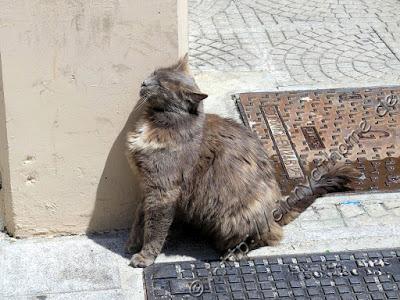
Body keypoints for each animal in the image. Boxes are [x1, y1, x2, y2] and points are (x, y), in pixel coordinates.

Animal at [123, 55, 358, 268]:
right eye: (154, 74)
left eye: (161, 85)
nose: (144, 82)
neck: (160, 123)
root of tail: (276, 208)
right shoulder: (147, 185)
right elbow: (139, 217)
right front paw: (132, 242)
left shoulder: (163, 189)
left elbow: (155, 228)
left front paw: (145, 257)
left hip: (235, 217)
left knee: (266, 237)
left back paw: (233, 253)